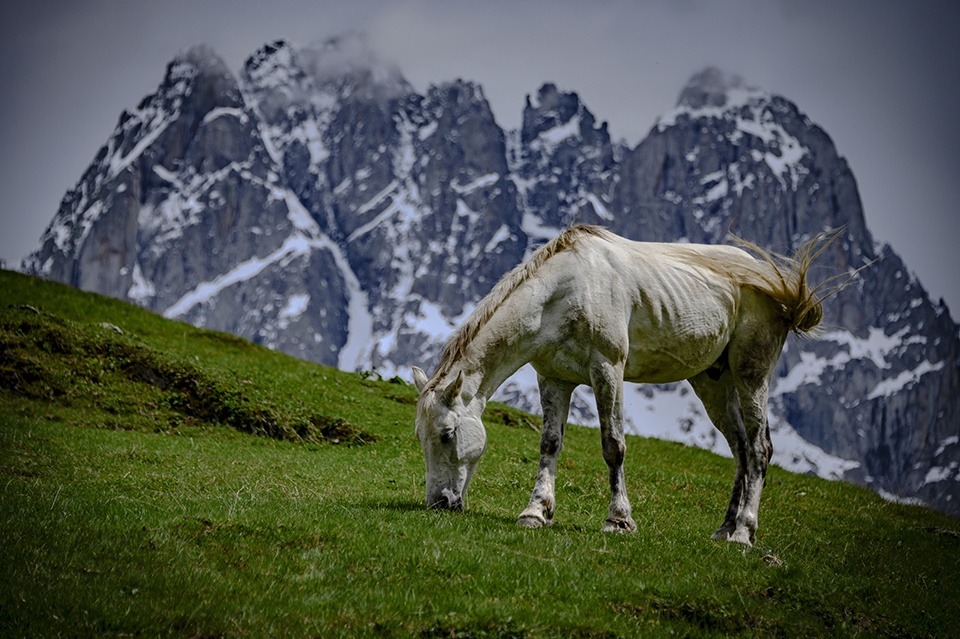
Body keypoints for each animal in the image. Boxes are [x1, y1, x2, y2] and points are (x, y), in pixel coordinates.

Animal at [412, 225, 832, 544]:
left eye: (447, 434)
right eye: (421, 436)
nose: (439, 503)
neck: (568, 290)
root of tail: (769, 281)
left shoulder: (607, 370)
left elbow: (613, 446)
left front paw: (619, 521)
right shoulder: (554, 378)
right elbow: (549, 444)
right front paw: (535, 512)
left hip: (751, 374)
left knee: (760, 450)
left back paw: (744, 534)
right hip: (713, 381)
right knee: (741, 450)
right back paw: (724, 529)